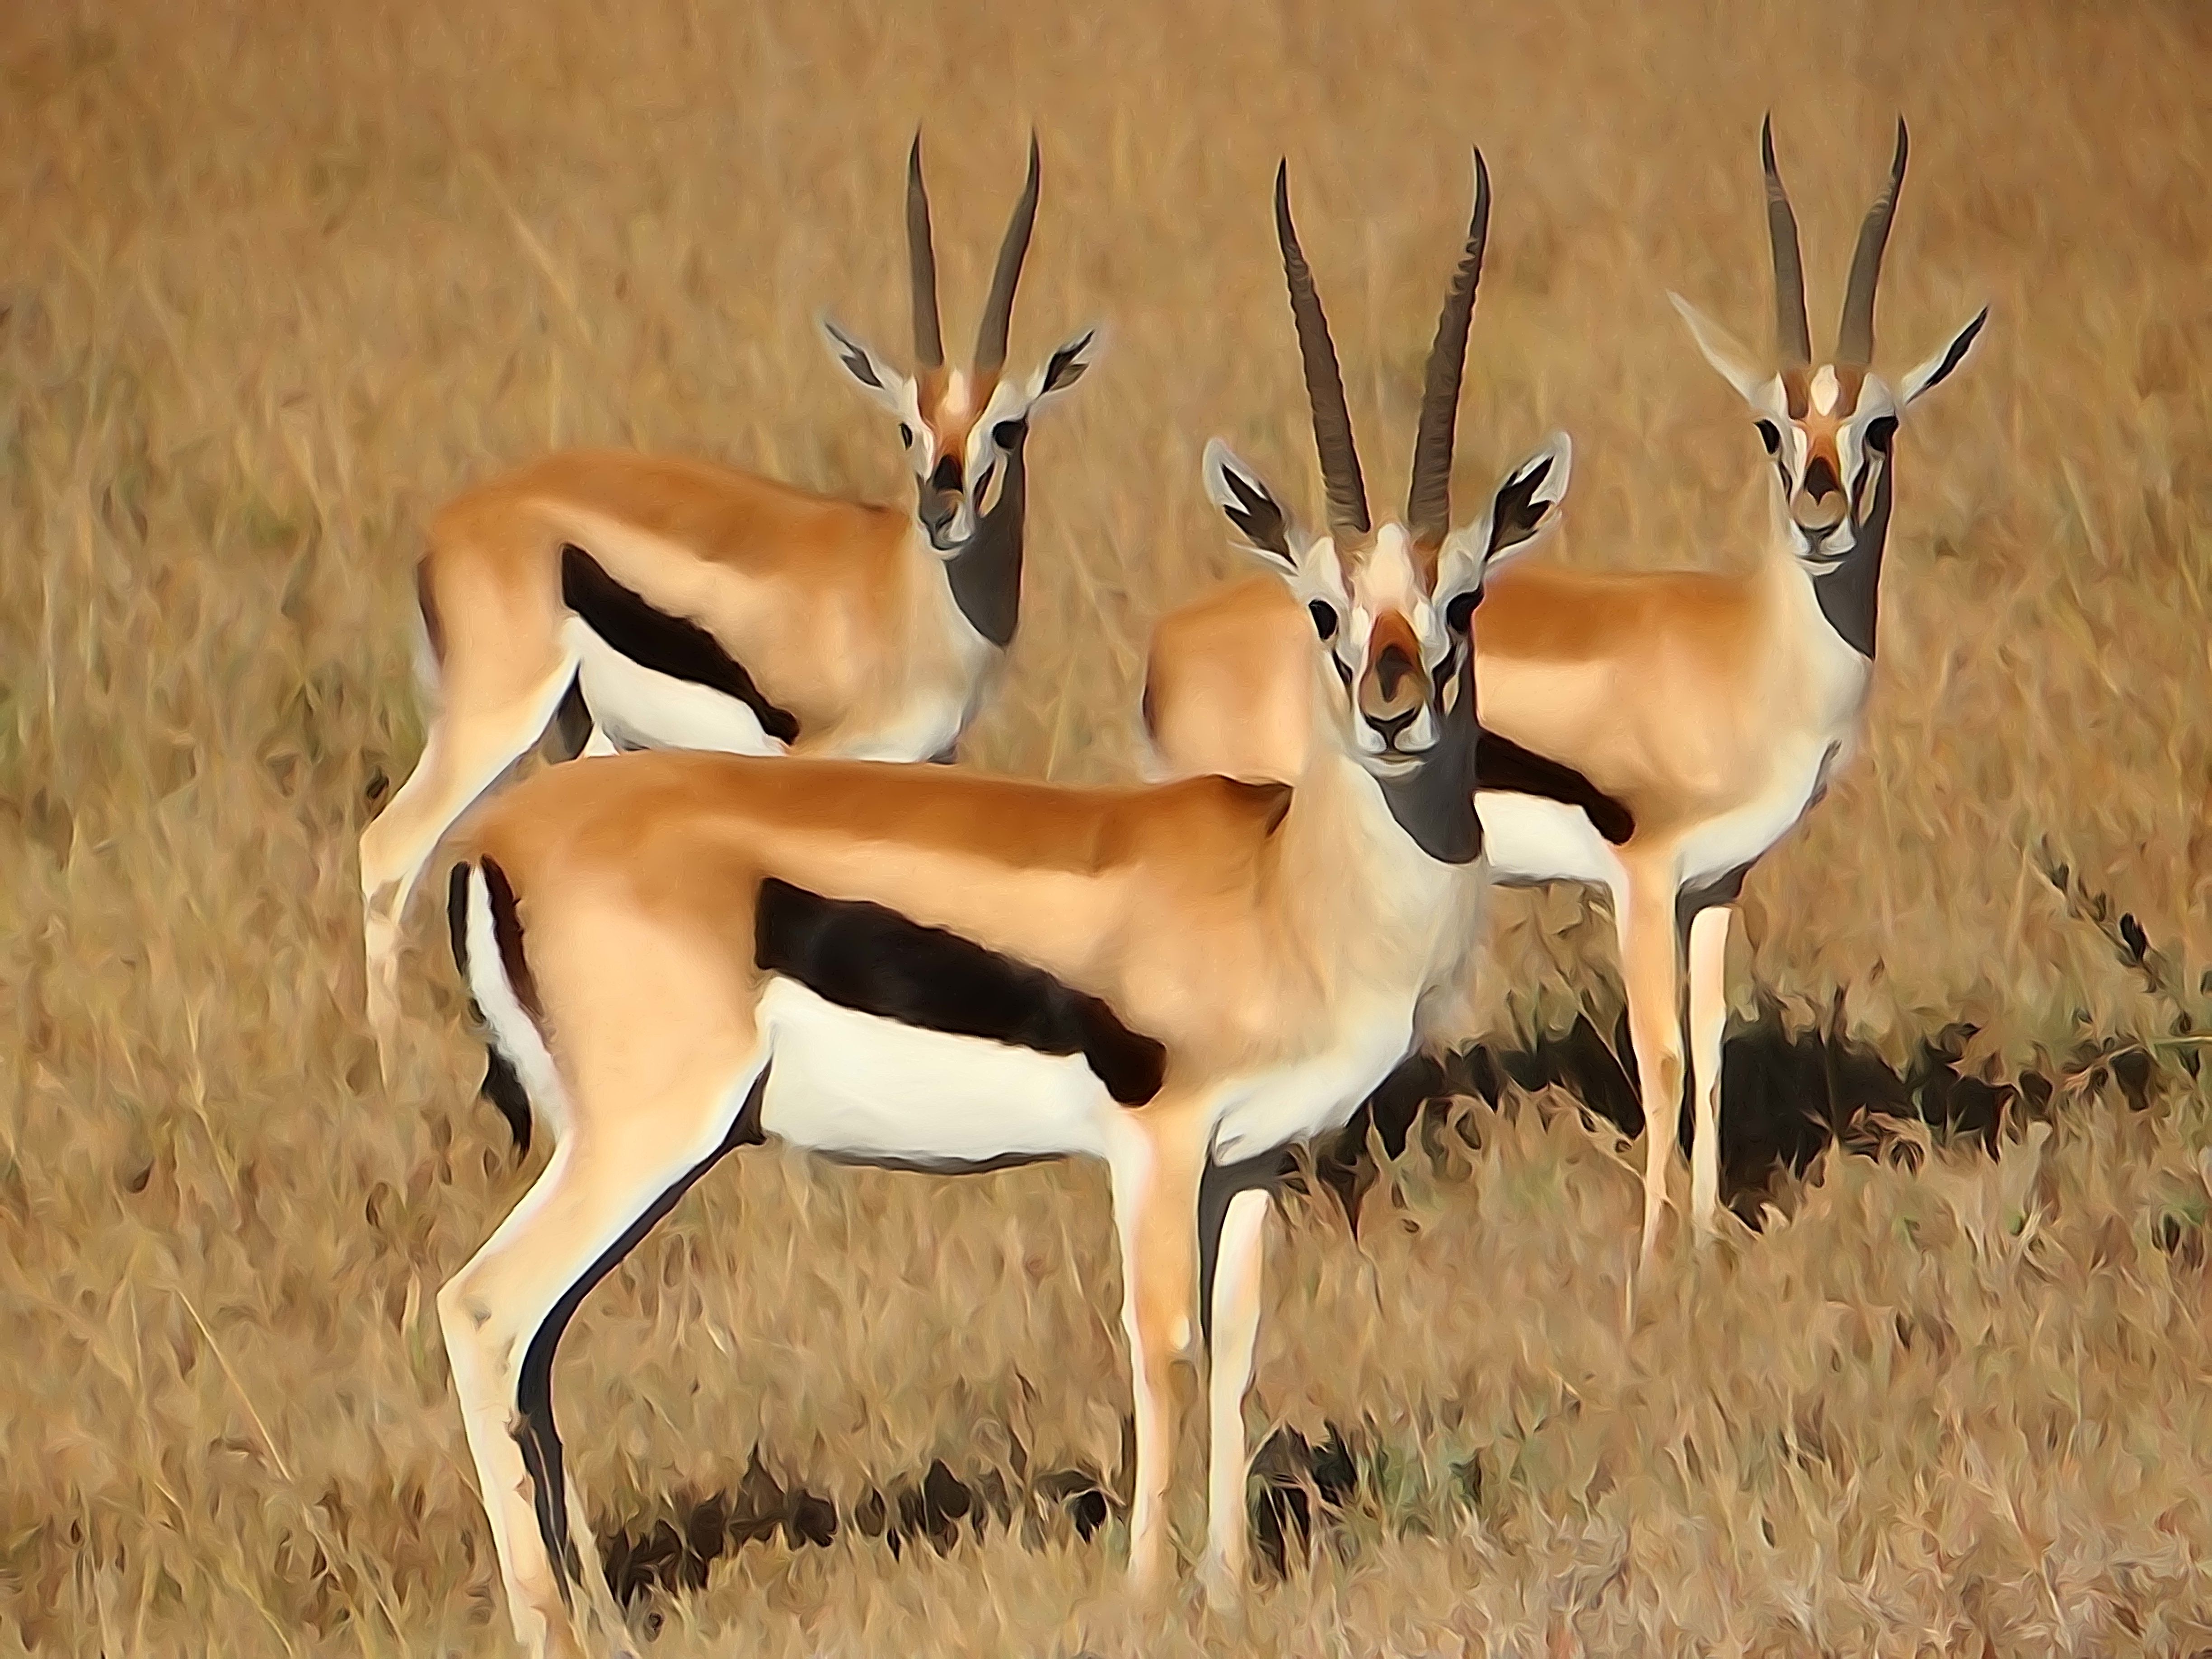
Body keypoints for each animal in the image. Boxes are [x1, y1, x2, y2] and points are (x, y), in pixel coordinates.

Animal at [359, 135, 1101, 1059]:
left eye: (1010, 425)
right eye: (908, 428)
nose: (942, 512)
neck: (902, 599)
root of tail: (450, 526)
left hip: (585, 741)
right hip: (494, 723)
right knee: (386, 853)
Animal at [430, 153, 1570, 1658]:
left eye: (1466, 601)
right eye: (1323, 609)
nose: (1394, 712)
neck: (1282, 892)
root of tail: (498, 837)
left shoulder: (1252, 1163)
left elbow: (1241, 1353)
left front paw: (1226, 1590)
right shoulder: (1154, 1150)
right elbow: (1167, 1350)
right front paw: (1145, 1597)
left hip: (616, 1149)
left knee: (540, 1346)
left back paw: (606, 1616)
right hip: (643, 1140)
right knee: (484, 1311)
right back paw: (549, 1623)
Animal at [1143, 118, 1987, 1271]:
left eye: (1883, 427)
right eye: (1770, 428)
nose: (1820, 518)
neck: (1746, 652)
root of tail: (1167, 649)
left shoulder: (1716, 885)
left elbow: (1711, 1050)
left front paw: (1711, 1234)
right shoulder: (1641, 874)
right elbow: (1661, 1055)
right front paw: (1656, 1253)